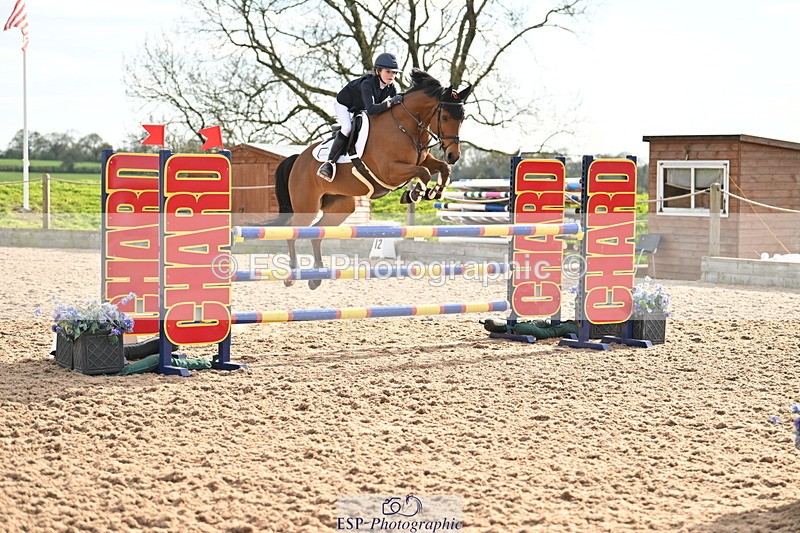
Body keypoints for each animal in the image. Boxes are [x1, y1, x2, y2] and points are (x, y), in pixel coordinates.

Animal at [272, 68, 472, 289]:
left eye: (462, 118)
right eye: (444, 117)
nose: (454, 155)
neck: (406, 125)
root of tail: (297, 159)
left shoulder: (424, 159)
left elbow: (442, 169)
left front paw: (434, 192)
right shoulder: (390, 171)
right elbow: (423, 173)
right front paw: (414, 194)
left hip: (340, 207)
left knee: (317, 233)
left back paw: (316, 277)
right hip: (307, 205)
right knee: (293, 230)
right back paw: (292, 274)